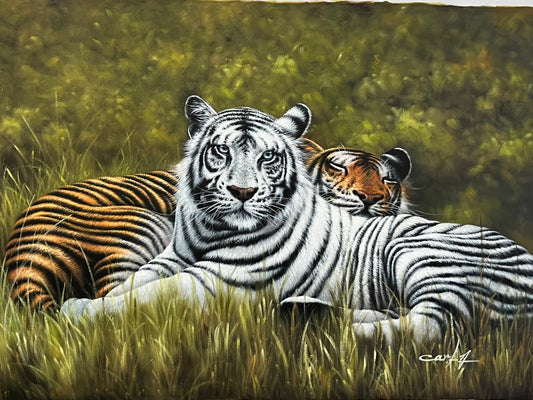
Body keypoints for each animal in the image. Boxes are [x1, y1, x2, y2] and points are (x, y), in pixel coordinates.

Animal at [61, 96, 533, 346]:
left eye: (268, 157)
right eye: (221, 151)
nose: (243, 192)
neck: (212, 230)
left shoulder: (215, 279)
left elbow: (145, 296)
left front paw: (77, 310)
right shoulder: (172, 258)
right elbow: (132, 282)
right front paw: (92, 301)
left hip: (422, 257)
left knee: (433, 325)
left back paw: (323, 327)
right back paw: (309, 313)